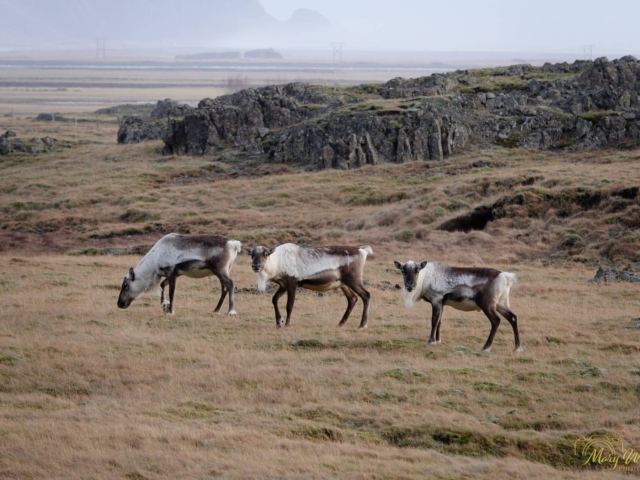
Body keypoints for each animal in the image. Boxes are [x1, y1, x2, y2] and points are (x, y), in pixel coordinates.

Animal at [245, 243, 373, 328]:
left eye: (265, 254)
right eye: (251, 255)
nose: (255, 266)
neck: (277, 262)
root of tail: (362, 251)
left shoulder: (292, 284)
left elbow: (289, 305)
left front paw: (287, 324)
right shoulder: (283, 285)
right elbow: (274, 299)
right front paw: (278, 321)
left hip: (353, 280)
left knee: (366, 295)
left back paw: (362, 325)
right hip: (343, 284)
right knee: (352, 298)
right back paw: (340, 323)